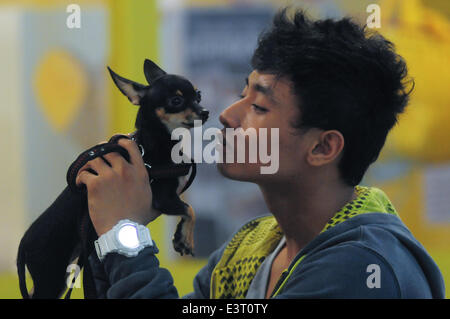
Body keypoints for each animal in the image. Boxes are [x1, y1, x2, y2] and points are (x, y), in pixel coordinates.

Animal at [16, 60, 208, 300]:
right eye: (176, 101)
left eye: (198, 95)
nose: (205, 112)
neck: (158, 142)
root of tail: (24, 242)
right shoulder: (163, 198)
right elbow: (189, 209)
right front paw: (187, 239)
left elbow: (186, 211)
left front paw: (180, 237)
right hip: (50, 277)